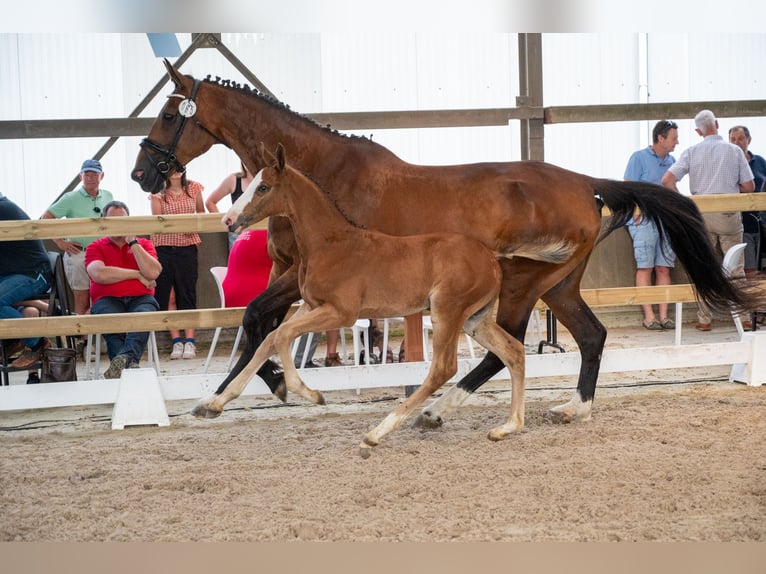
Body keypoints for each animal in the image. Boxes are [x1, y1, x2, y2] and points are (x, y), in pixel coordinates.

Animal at [207, 142, 529, 455]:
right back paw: (508, 426)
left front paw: (308, 392)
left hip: (447, 311)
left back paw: (375, 434)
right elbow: (272, 338)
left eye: (263, 187)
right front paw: (215, 403)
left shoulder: (341, 312)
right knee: (513, 350)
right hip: (475, 319)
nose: (229, 220)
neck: (330, 244)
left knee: (443, 368)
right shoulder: (311, 306)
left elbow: (283, 334)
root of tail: (492, 260)